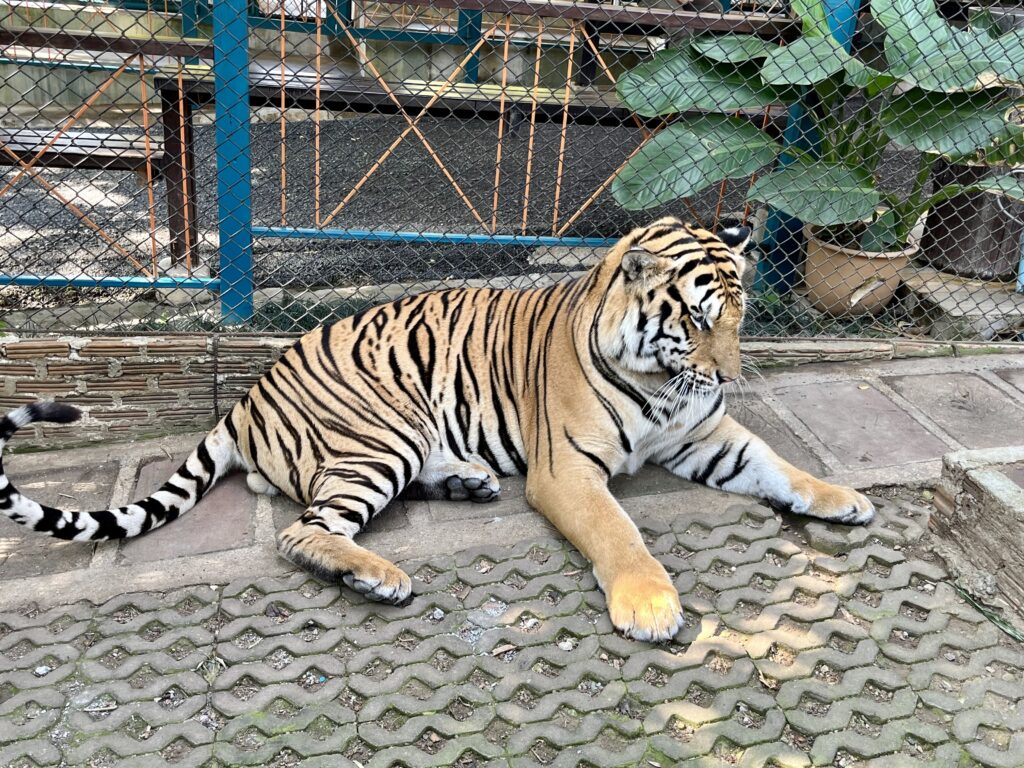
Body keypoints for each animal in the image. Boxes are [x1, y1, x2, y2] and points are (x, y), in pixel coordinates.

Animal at [0, 217, 873, 642]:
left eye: (739, 316)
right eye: (694, 321)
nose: (728, 374)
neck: (665, 385)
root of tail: (244, 398)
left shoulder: (707, 437)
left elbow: (781, 466)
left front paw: (844, 499)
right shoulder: (568, 469)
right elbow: (618, 531)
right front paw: (651, 605)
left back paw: (467, 482)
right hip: (381, 436)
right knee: (304, 530)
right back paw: (377, 575)